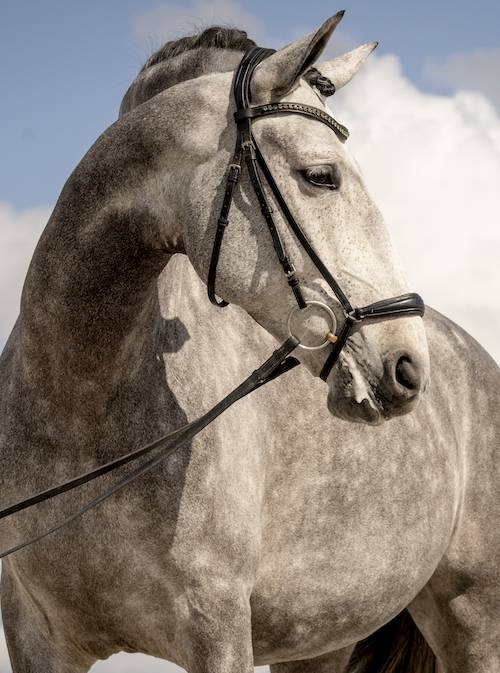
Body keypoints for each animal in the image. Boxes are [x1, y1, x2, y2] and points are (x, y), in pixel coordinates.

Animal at [1, 12, 499, 673]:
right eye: (321, 176)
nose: (408, 367)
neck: (77, 405)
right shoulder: (35, 636)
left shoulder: (217, 625)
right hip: (323, 639)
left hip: (474, 618)